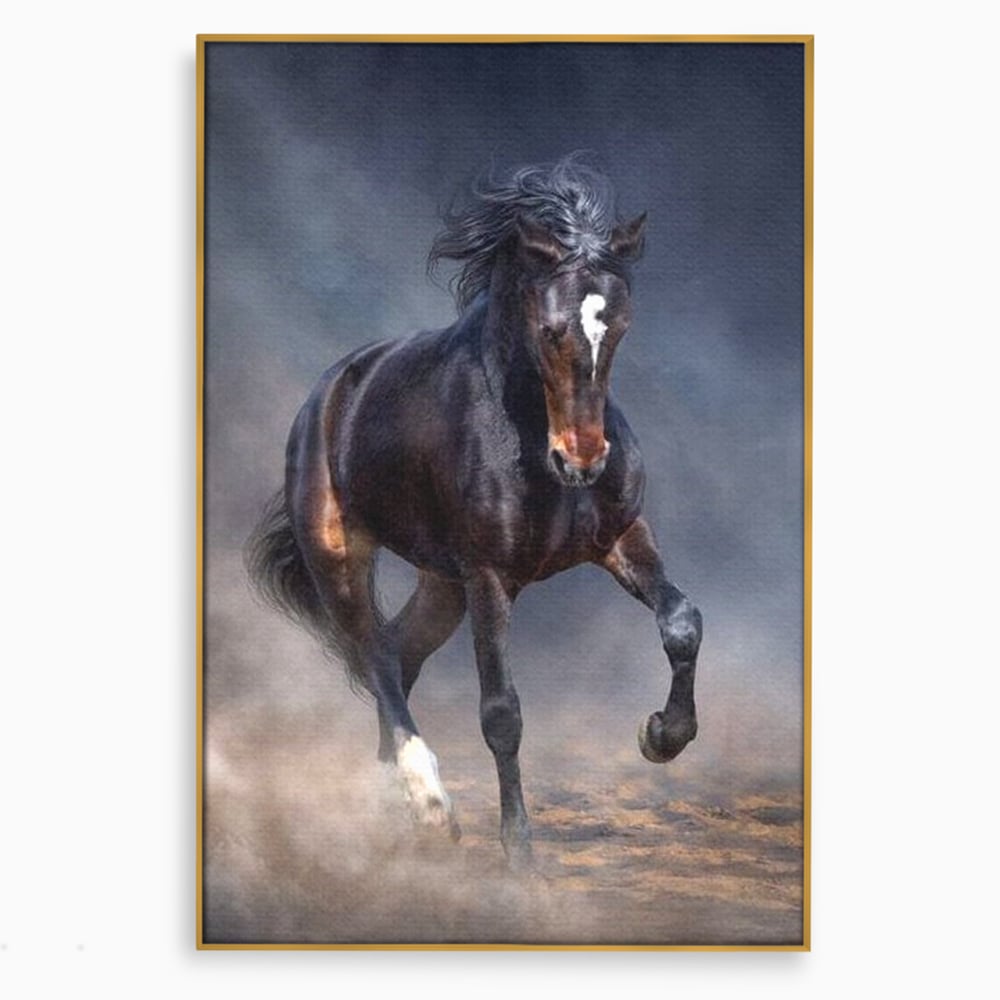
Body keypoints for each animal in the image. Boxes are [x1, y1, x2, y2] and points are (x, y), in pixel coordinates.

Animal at [246, 157, 703, 869]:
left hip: (442, 586)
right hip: (340, 558)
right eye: (550, 329)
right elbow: (501, 713)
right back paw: (430, 805)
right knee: (374, 659)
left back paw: (392, 805)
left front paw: (660, 735)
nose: (582, 459)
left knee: (397, 655)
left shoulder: (622, 537)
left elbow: (681, 621)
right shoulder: (489, 576)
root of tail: (329, 393)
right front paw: (518, 854)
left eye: (621, 328)